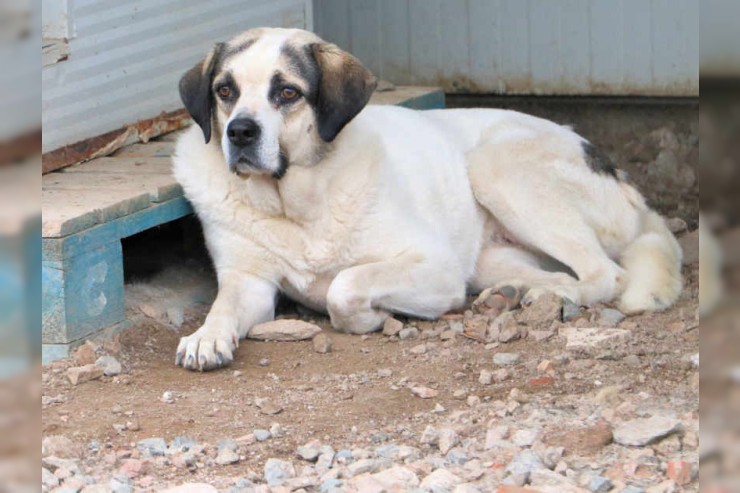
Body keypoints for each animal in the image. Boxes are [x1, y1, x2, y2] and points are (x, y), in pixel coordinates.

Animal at [173, 26, 684, 368]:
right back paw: (515, 295)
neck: (297, 204)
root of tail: (619, 174)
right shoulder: (249, 282)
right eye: (225, 90)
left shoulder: (436, 267)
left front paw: (371, 317)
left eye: (286, 92)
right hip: (491, 257)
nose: (240, 132)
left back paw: (548, 298)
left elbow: (345, 285)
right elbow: (224, 305)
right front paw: (206, 336)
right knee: (560, 273)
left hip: (495, 166)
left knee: (606, 275)